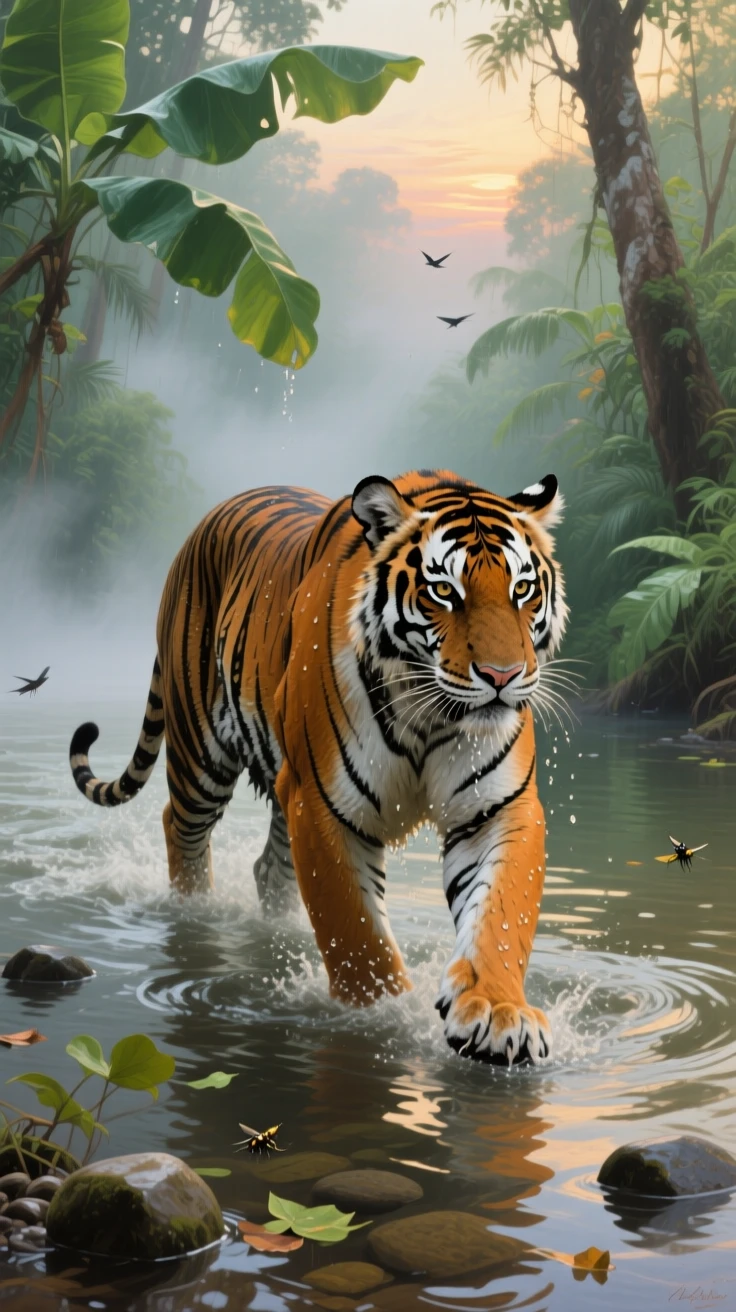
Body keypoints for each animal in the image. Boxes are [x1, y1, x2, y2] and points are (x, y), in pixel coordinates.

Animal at [69, 470, 568, 1066]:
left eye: (523, 590)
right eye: (444, 591)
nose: (502, 676)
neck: (428, 712)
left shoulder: (495, 809)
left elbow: (501, 914)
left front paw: (498, 1014)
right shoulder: (325, 807)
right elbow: (355, 931)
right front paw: (380, 1019)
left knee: (270, 869)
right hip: (200, 755)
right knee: (181, 830)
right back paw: (194, 919)